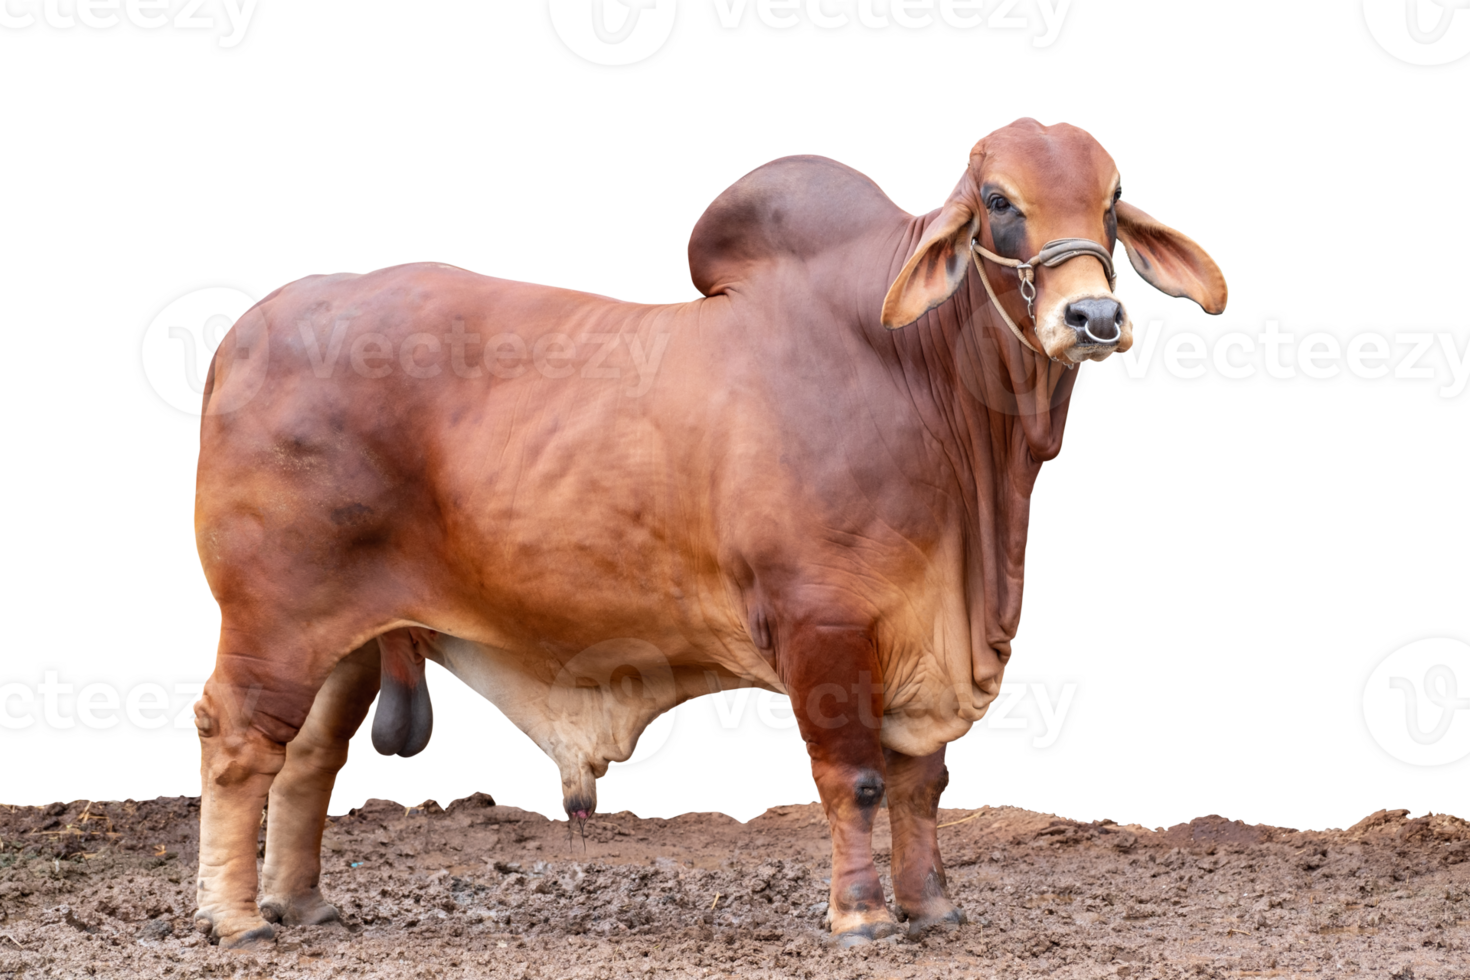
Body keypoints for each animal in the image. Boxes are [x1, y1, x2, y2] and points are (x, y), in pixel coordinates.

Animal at [190, 117, 1228, 948]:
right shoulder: (825, 626)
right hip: (273, 617)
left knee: (309, 759)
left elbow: (922, 784)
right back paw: (237, 921)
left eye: (1112, 198)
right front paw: (862, 918)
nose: (1092, 314)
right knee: (237, 740)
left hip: (349, 640)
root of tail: (255, 326)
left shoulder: (921, 637)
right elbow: (856, 779)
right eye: (1000, 201)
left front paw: (931, 908)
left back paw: (301, 904)